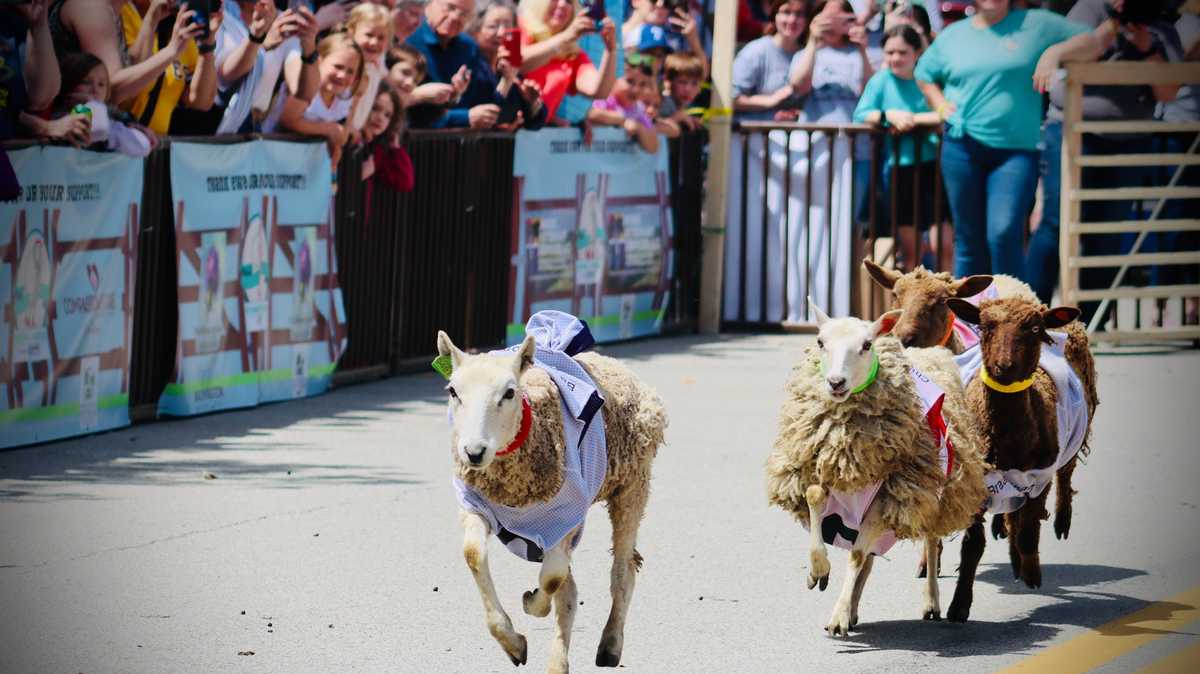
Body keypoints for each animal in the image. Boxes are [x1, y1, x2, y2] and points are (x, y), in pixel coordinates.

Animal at [436, 318, 667, 673]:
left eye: (509, 392)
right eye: (453, 391)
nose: (474, 452)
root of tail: (610, 361)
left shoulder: (567, 516)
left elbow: (552, 578)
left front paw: (532, 604)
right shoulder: (475, 504)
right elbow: (474, 553)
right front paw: (513, 644)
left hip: (632, 486)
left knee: (621, 571)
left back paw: (610, 645)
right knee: (571, 591)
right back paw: (558, 663)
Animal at [766, 300, 988, 634]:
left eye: (866, 345)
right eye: (820, 342)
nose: (836, 383)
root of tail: (933, 352)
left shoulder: (889, 495)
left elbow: (857, 556)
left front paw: (837, 618)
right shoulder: (826, 469)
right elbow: (816, 498)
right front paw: (818, 572)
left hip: (929, 494)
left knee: (929, 543)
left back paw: (931, 601)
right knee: (870, 556)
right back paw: (854, 608)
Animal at [941, 296, 1099, 622]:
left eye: (1035, 329)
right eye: (985, 326)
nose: (1004, 367)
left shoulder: (1040, 477)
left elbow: (1028, 531)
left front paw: (1031, 574)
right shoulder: (980, 481)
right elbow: (973, 545)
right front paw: (959, 605)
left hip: (1076, 434)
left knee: (1065, 476)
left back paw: (1060, 523)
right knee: (1013, 513)